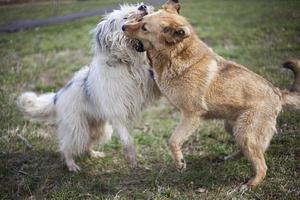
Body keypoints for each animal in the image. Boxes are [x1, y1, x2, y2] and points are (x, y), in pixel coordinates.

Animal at [17, 3, 159, 171]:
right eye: (126, 16)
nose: (143, 5)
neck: (126, 63)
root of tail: (57, 96)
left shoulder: (148, 86)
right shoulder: (117, 112)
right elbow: (127, 139)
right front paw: (131, 158)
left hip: (99, 128)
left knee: (87, 143)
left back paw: (93, 154)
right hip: (77, 128)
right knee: (66, 146)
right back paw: (71, 165)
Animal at [122, 0, 300, 188]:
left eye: (144, 28)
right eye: (141, 19)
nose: (123, 26)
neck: (177, 54)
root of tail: (278, 93)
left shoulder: (191, 115)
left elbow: (173, 140)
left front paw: (180, 162)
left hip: (246, 133)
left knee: (262, 165)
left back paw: (250, 184)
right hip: (233, 128)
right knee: (246, 151)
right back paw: (230, 158)